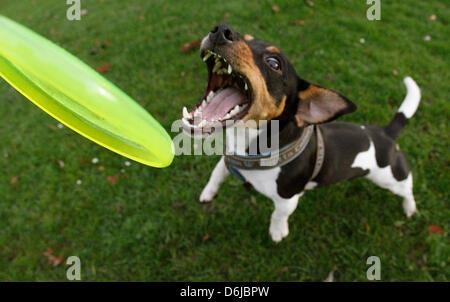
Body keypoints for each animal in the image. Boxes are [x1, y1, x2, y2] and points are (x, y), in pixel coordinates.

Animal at [181, 24, 420, 243]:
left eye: (274, 63)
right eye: (245, 36)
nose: (221, 30)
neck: (249, 145)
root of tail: (386, 132)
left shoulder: (287, 199)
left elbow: (278, 215)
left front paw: (277, 232)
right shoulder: (229, 157)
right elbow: (217, 172)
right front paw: (208, 193)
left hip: (390, 177)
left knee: (407, 188)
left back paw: (410, 207)